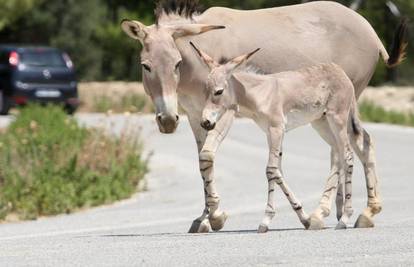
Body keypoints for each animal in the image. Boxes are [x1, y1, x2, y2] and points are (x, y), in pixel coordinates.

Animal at [191, 42, 360, 232]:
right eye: (205, 91)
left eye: (219, 92)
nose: (205, 122)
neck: (260, 94)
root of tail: (340, 71)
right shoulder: (269, 133)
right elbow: (278, 171)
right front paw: (304, 218)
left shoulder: (277, 129)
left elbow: (271, 170)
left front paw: (265, 220)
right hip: (322, 124)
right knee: (339, 155)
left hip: (338, 120)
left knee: (348, 156)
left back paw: (345, 218)